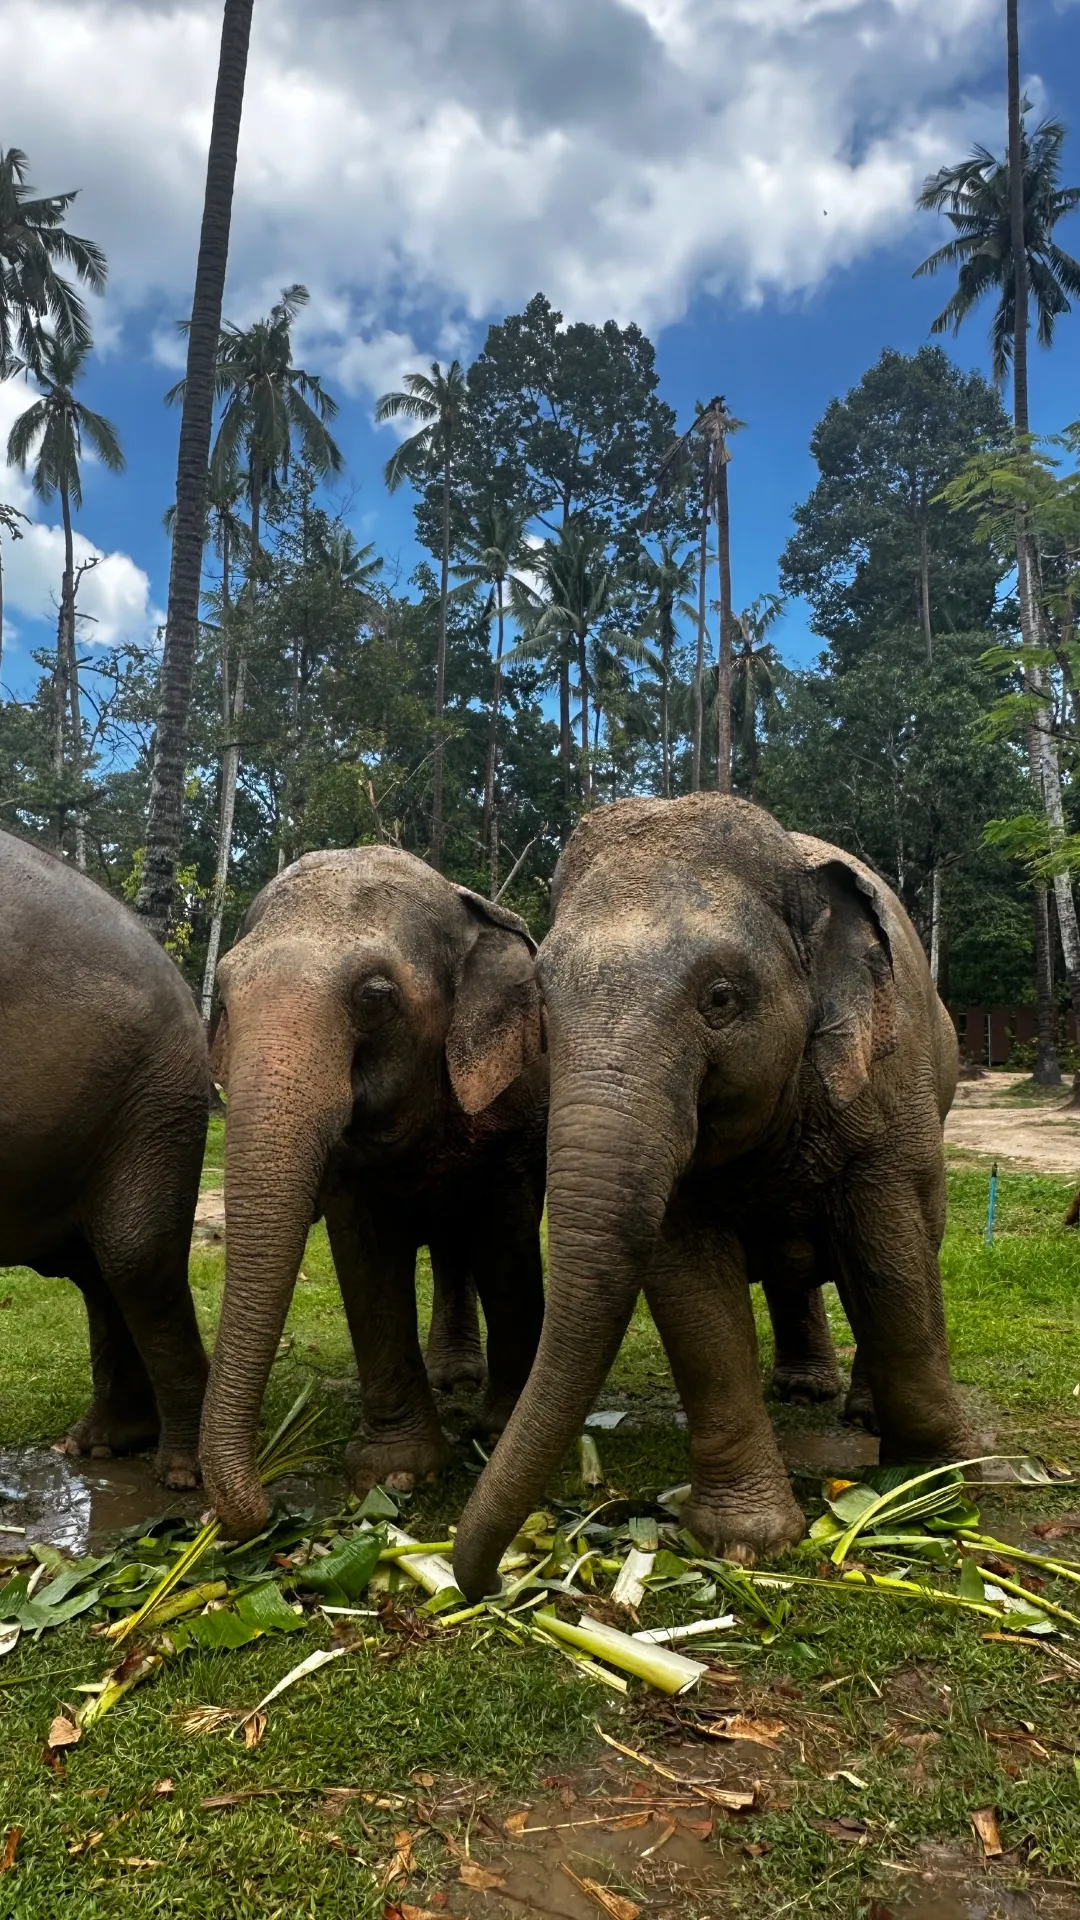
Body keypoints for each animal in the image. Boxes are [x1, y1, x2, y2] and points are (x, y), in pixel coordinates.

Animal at [199, 846, 550, 1543]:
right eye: (222, 991)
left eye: (376, 996)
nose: (259, 1509)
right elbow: (365, 1267)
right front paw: (397, 1474)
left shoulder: (515, 1114)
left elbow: (509, 1251)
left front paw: (498, 1433)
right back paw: (450, 1377)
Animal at [453, 793, 970, 1600]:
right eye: (541, 1001)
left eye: (721, 999)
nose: (479, 1583)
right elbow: (691, 1294)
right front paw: (745, 1543)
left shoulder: (890, 1091)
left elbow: (890, 1258)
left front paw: (933, 1487)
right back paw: (803, 1393)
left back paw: (856, 1412)